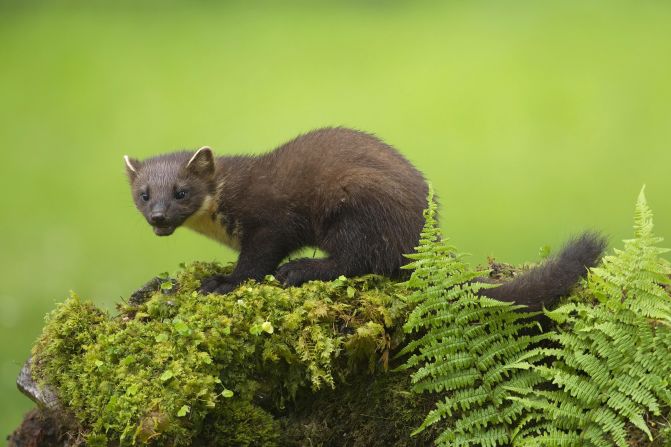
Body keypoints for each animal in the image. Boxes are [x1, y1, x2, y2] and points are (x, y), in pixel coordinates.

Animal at [124, 127, 606, 310]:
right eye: (143, 195)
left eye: (181, 191)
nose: (160, 217)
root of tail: (423, 234)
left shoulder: (269, 222)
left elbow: (256, 262)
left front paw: (221, 281)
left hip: (355, 205)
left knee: (356, 261)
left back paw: (302, 269)